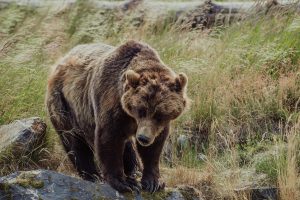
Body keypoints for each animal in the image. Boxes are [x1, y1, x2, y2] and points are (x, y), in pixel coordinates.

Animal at [45, 40, 189, 192]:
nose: (143, 138)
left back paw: (133, 171)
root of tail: (60, 61)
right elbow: (110, 138)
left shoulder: (156, 126)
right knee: (74, 141)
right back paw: (94, 175)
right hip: (65, 105)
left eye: (160, 114)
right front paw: (123, 183)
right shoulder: (111, 101)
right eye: (141, 110)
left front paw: (153, 182)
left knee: (127, 146)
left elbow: (154, 147)